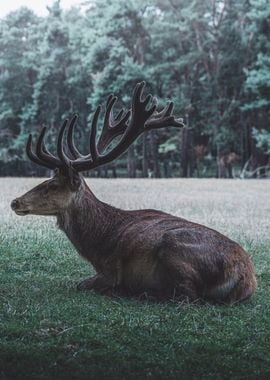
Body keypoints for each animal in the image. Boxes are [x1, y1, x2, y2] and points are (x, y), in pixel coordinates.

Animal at [10, 81, 255, 304]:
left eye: (52, 186)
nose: (15, 202)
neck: (97, 242)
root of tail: (244, 276)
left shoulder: (110, 270)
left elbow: (81, 284)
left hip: (173, 248)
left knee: (187, 296)